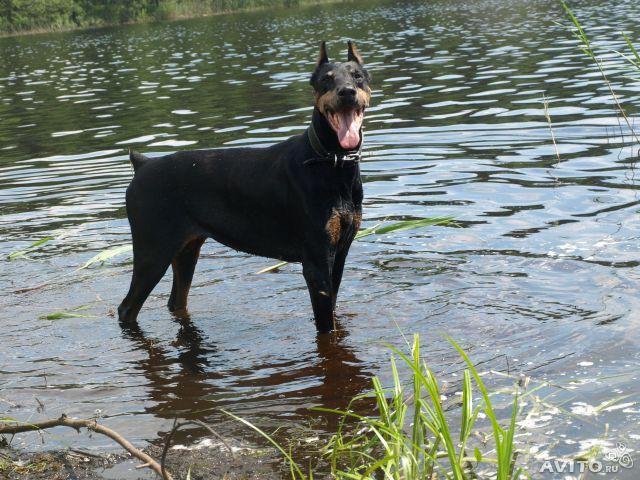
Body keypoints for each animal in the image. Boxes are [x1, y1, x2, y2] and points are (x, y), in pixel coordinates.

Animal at [117, 41, 372, 332]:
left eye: (357, 76)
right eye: (326, 80)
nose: (347, 91)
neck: (332, 163)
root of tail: (143, 164)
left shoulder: (339, 254)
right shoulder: (316, 261)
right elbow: (325, 324)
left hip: (187, 249)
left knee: (175, 301)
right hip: (152, 251)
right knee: (127, 308)